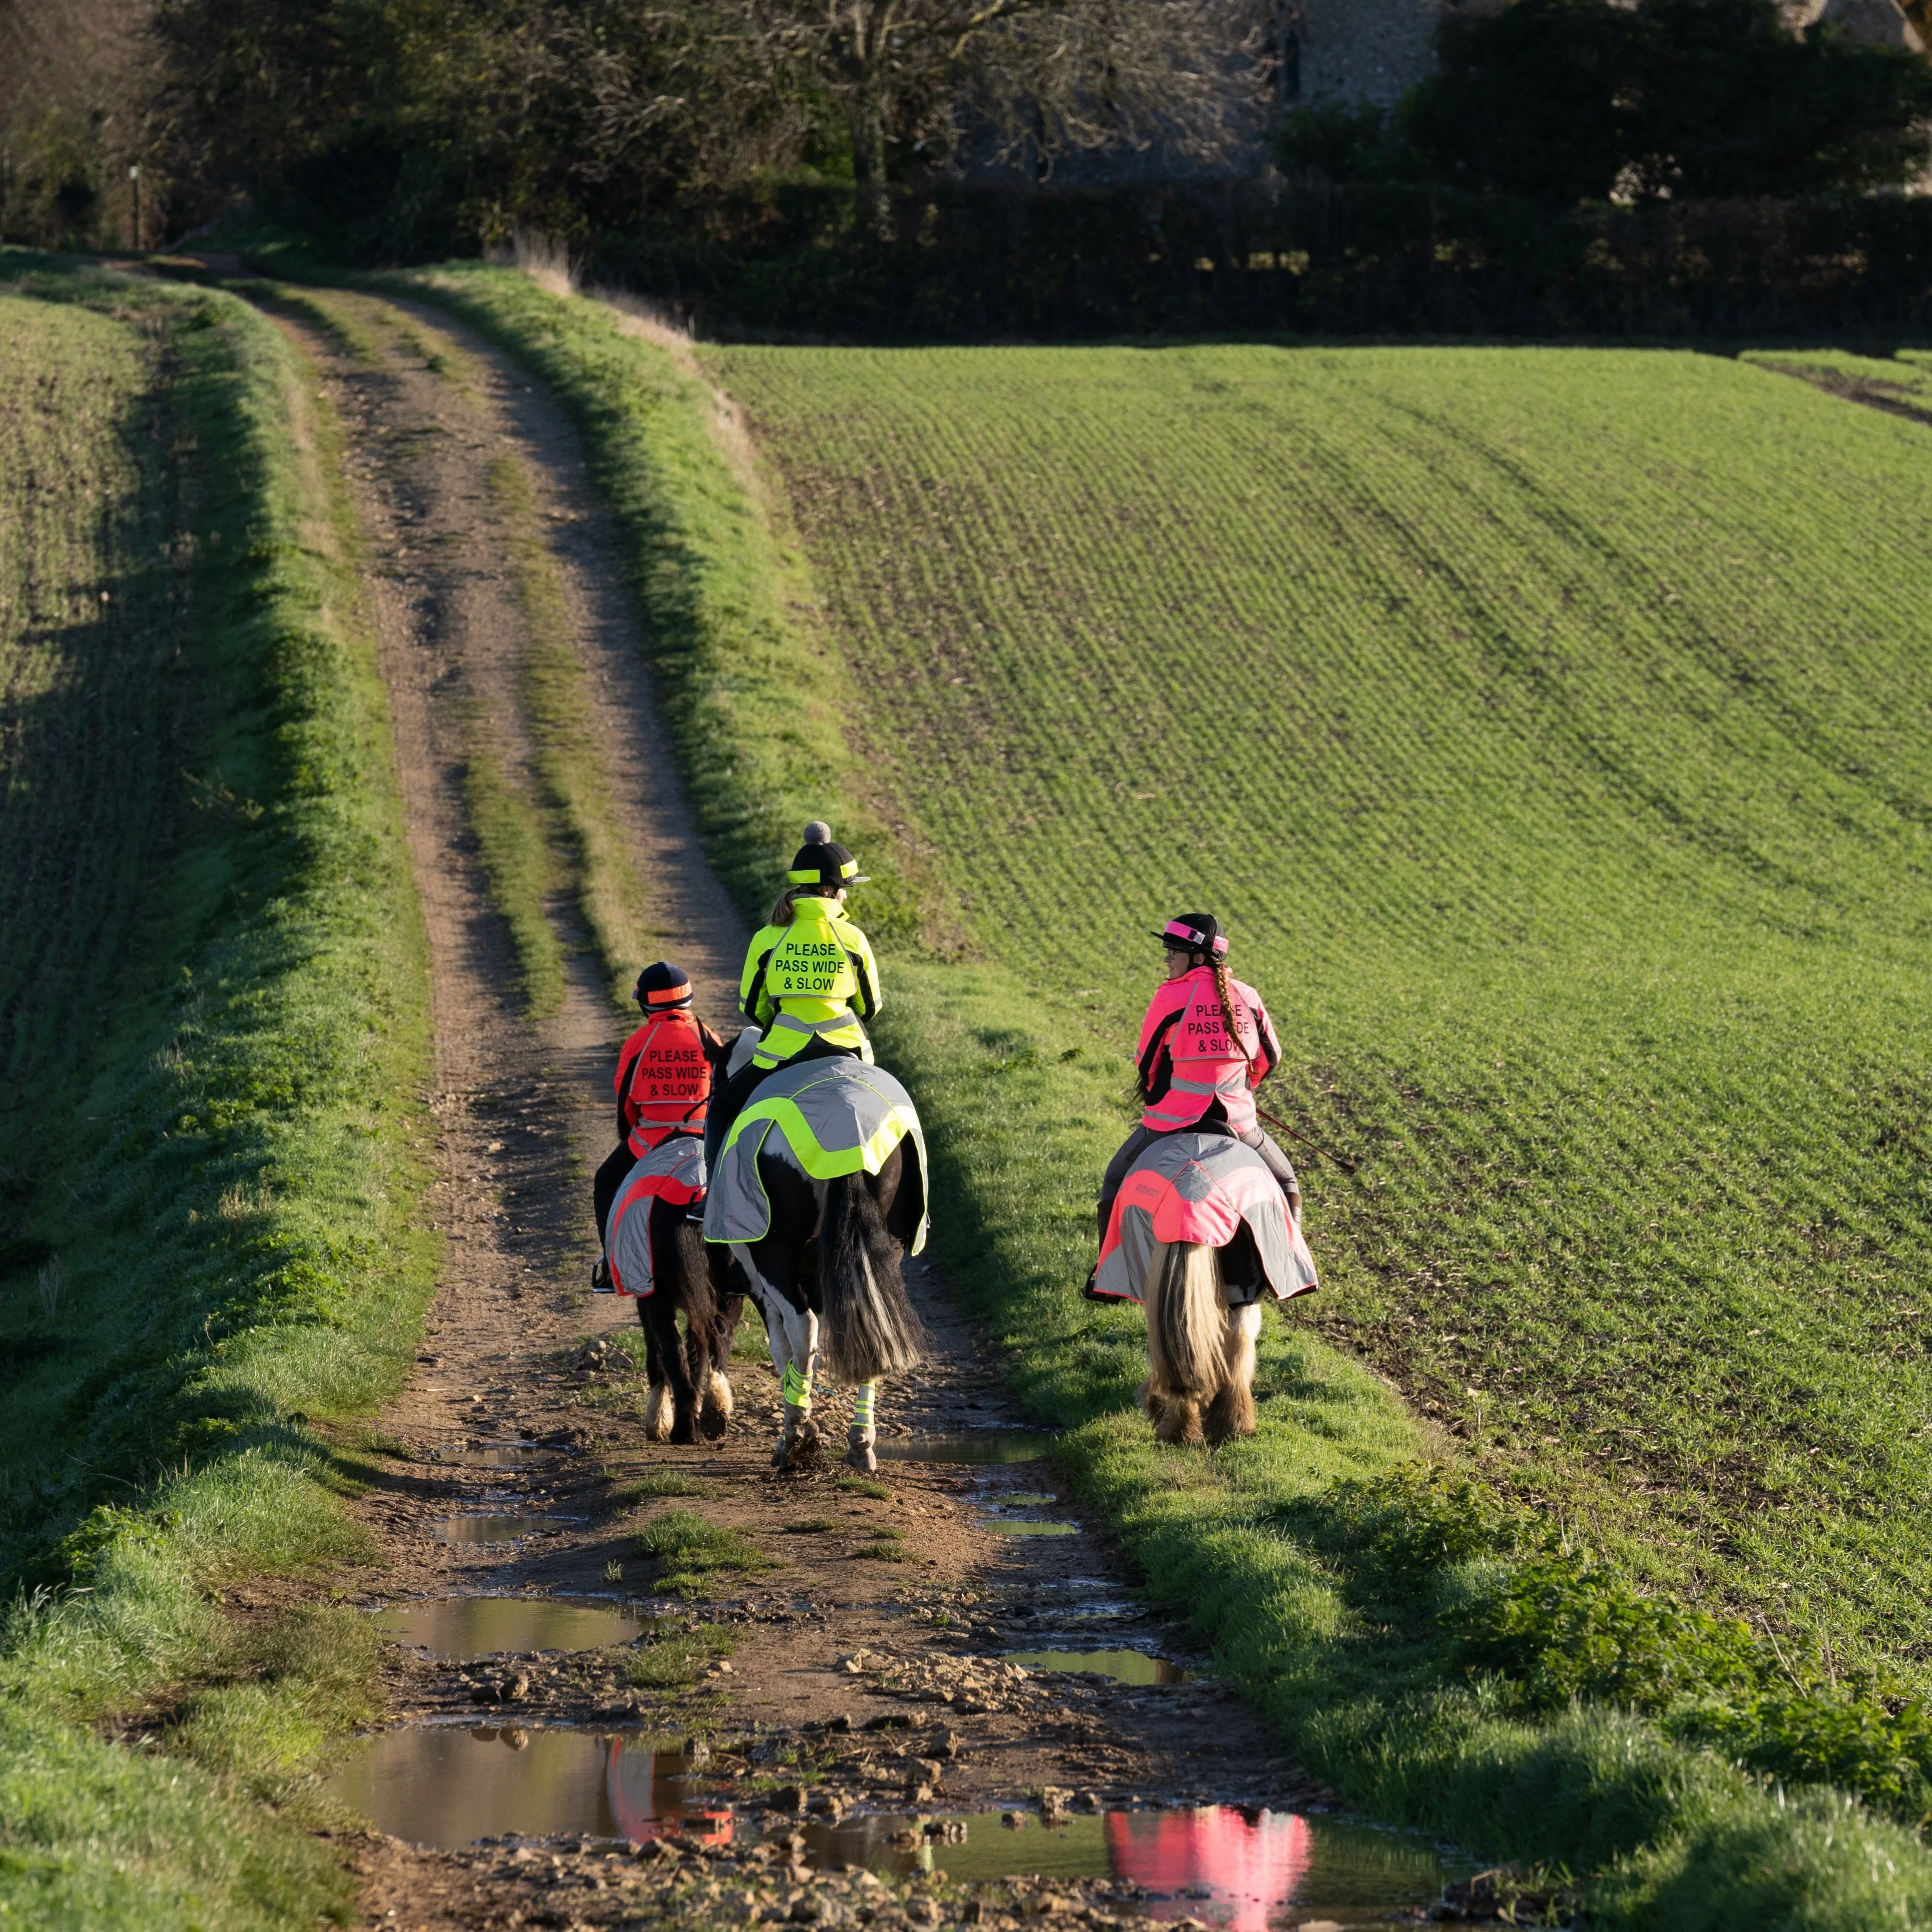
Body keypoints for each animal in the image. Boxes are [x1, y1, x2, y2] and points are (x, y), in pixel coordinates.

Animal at [703, 1051, 927, 1468]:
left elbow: (784, 1346)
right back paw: (860, 1442)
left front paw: (800, 1425)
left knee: (802, 1326)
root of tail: (848, 1130)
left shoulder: (759, 1279)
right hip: (882, 1248)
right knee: (872, 1323)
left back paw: (795, 1437)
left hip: (773, 1252)